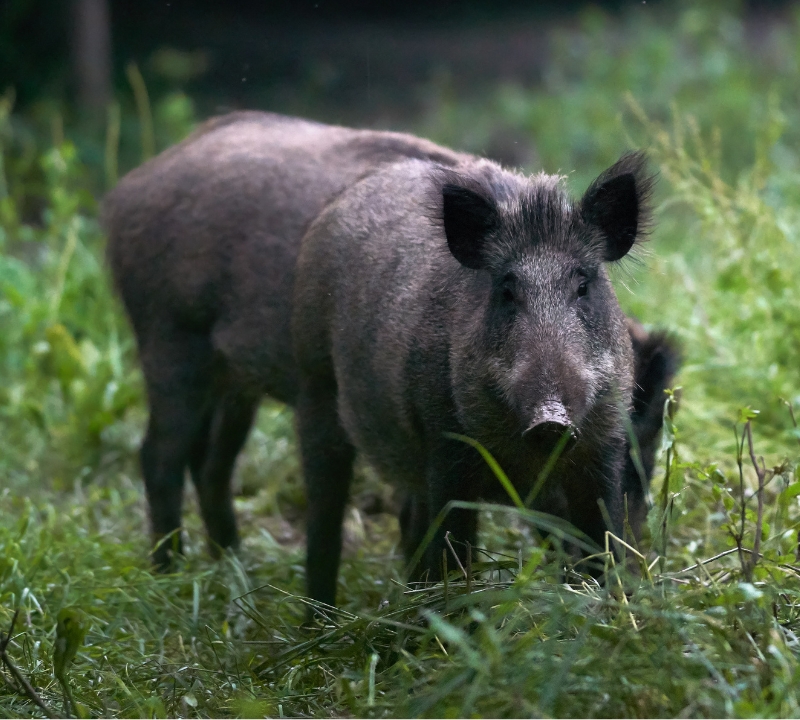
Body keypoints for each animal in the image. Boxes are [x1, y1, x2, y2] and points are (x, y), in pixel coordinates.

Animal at [104, 111, 673, 607]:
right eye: (506, 292)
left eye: (650, 447)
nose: (637, 568)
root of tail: (130, 186)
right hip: (174, 343)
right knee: (160, 456)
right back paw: (174, 579)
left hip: (233, 382)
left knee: (210, 465)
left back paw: (232, 570)